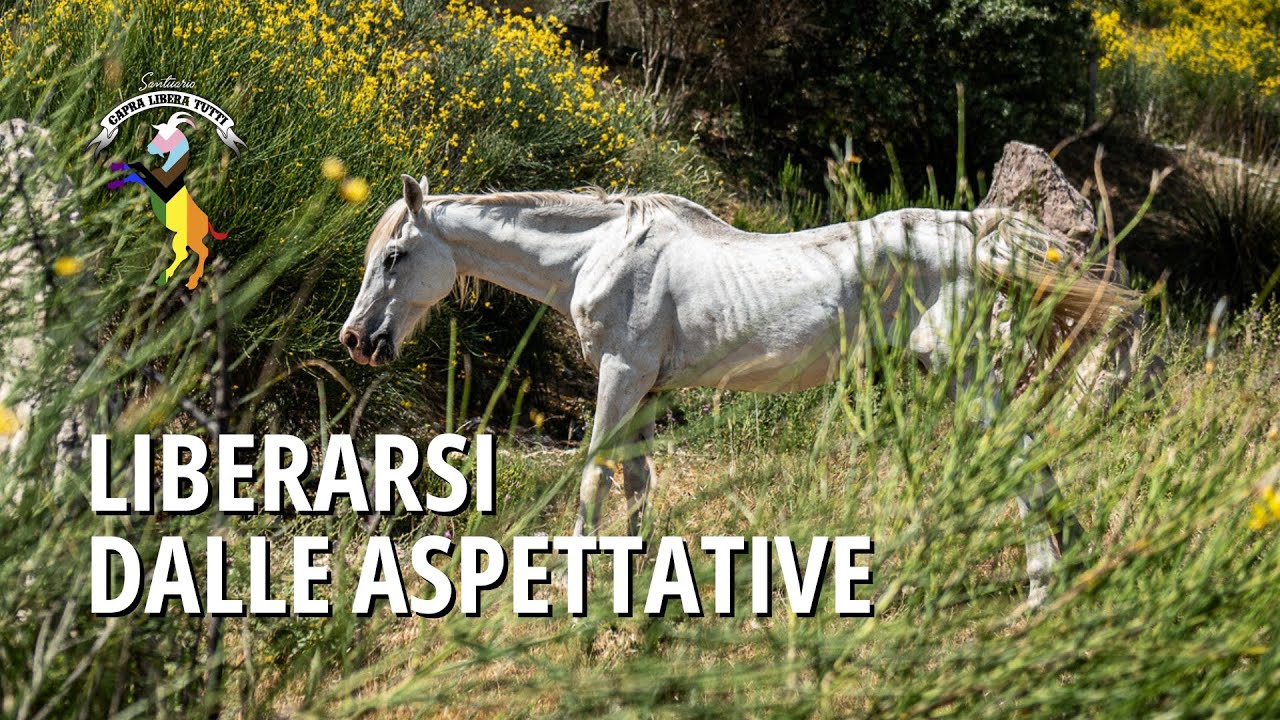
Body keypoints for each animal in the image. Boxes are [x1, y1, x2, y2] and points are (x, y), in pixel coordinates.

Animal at [340, 175, 1138, 608]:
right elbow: (638, 482)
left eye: (395, 255)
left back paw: (1038, 594)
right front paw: (644, 584)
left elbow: (594, 477)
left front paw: (571, 583)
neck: (601, 253)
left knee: (1021, 467)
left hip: (967, 377)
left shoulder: (620, 378)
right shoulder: (650, 391)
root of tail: (973, 232)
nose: (356, 340)